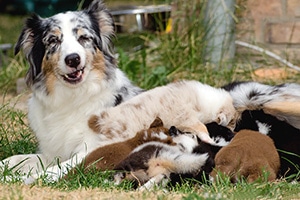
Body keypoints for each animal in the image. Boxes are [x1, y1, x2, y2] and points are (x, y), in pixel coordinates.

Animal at [0, 0, 142, 183]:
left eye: (84, 37)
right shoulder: (52, 154)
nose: (73, 59)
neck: (73, 97)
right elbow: (15, 160)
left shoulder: (92, 151)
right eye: (53, 40)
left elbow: (48, 172)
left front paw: (16, 179)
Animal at [88, 80, 237, 145]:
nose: (234, 132)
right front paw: (209, 139)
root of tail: (102, 118)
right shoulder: (185, 116)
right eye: (232, 121)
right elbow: (201, 127)